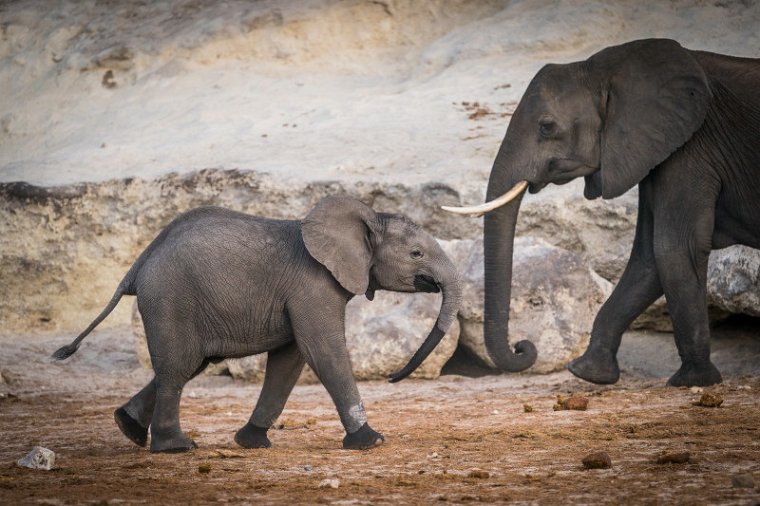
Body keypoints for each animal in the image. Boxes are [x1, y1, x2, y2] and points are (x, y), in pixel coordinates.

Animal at [53, 196, 460, 452]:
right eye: (416, 254)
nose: (392, 378)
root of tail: (140, 262)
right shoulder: (313, 286)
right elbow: (323, 350)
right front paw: (371, 441)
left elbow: (290, 359)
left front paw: (251, 442)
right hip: (170, 299)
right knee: (177, 368)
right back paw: (175, 448)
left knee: (189, 364)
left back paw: (129, 428)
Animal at [446, 38, 760, 388]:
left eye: (546, 127)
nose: (522, 346)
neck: (610, 69)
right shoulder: (654, 149)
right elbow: (648, 257)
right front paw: (588, 372)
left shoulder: (693, 147)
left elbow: (674, 247)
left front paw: (692, 381)